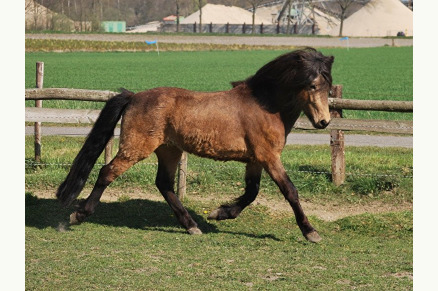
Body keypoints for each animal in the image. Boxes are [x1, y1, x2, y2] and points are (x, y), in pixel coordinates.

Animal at [56, 48, 334, 244]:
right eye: (312, 85)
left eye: (329, 87)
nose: (324, 122)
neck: (265, 105)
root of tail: (134, 96)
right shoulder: (269, 157)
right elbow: (290, 191)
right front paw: (311, 232)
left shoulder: (256, 160)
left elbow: (251, 192)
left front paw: (220, 213)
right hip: (136, 148)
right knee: (107, 172)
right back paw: (77, 215)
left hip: (169, 150)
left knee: (164, 184)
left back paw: (191, 225)